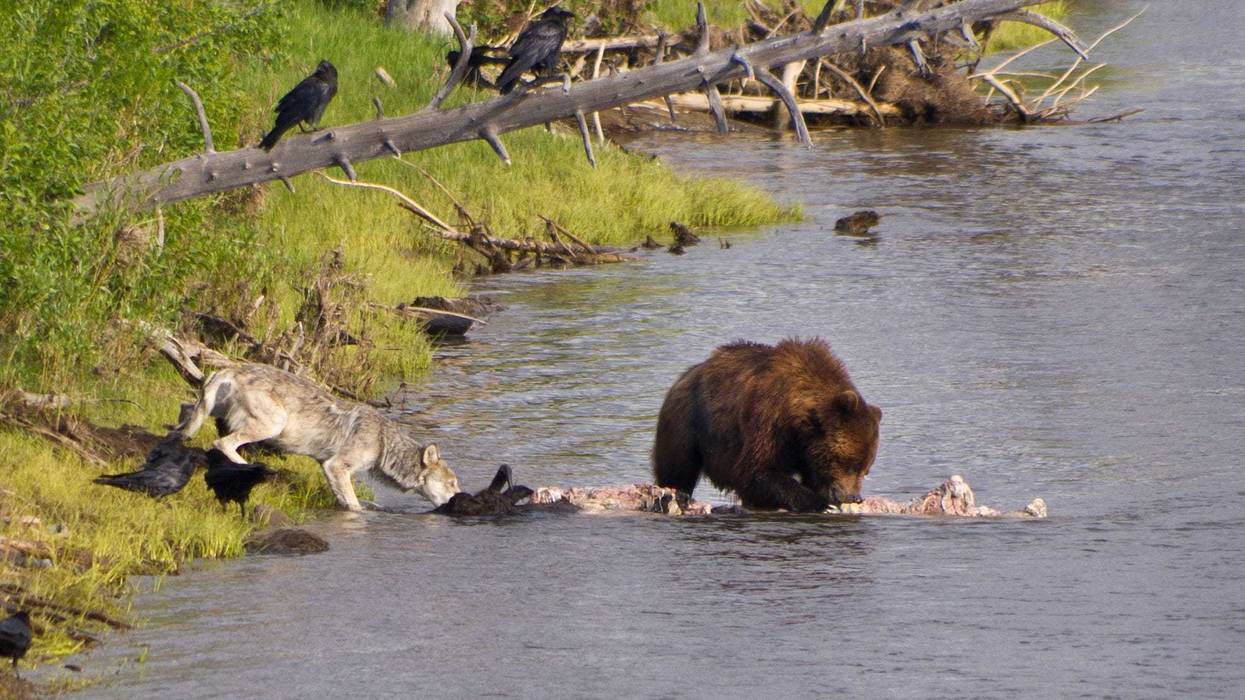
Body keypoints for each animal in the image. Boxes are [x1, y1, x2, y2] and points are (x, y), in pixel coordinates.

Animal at [178, 363, 459, 511]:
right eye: (452, 484)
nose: (460, 497)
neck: (383, 442)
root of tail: (232, 368)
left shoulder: (327, 467)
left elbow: (344, 498)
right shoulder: (337, 466)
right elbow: (355, 505)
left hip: (204, 409)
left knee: (185, 418)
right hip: (273, 424)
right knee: (223, 444)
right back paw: (252, 468)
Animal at [652, 338, 882, 513]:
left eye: (866, 468)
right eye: (851, 464)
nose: (854, 497)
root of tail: (685, 375)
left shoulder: (806, 449)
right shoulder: (768, 419)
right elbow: (756, 471)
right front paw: (819, 502)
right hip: (687, 420)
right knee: (677, 466)